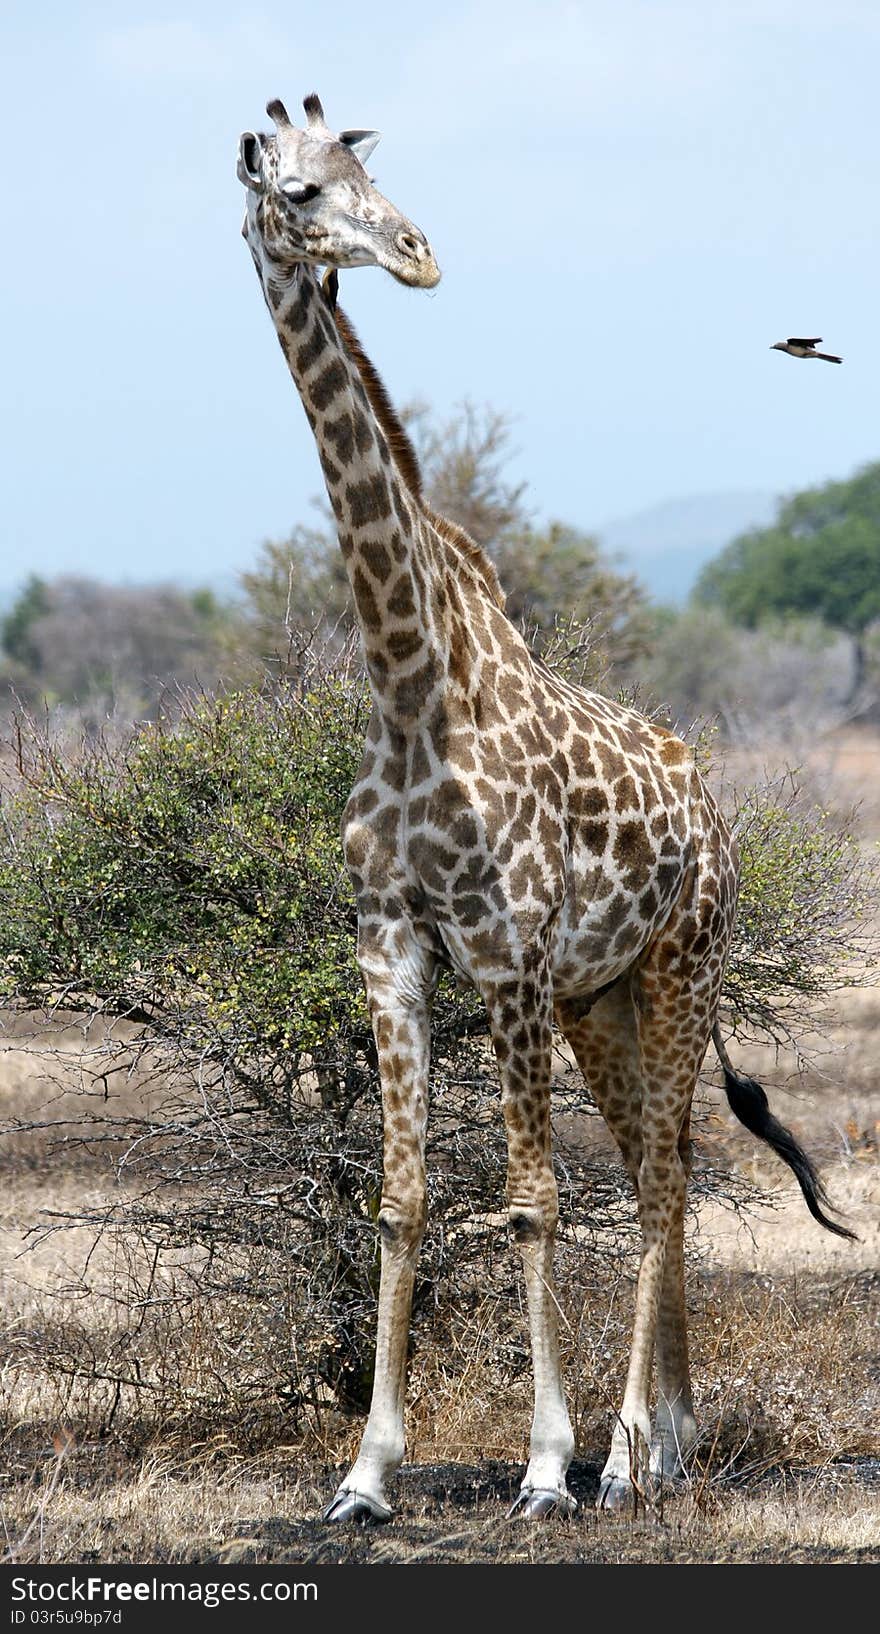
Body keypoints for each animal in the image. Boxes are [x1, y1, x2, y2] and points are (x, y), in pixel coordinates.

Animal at [235, 92, 855, 1516]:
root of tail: (714, 811)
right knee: (649, 1164)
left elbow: (528, 1200)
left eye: (365, 170)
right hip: (600, 994)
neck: (411, 680)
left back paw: (624, 1457)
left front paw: (541, 1465)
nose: (415, 254)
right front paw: (365, 1474)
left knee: (669, 1172)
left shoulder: (505, 947)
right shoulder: (393, 942)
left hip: (677, 966)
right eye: (298, 191)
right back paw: (666, 1442)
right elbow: (402, 1196)